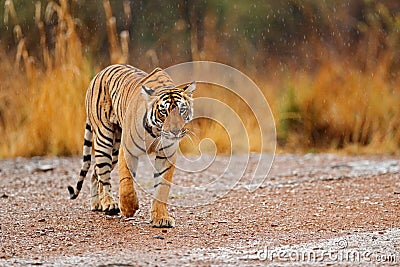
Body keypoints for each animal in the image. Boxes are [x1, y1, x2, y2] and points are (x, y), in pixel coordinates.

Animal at [67, 64, 195, 228]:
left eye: (182, 110)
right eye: (163, 112)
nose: (175, 131)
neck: (156, 131)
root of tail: (99, 73)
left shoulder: (167, 154)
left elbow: (161, 188)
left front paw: (161, 218)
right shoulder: (127, 150)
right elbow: (126, 181)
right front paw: (128, 208)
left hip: (114, 151)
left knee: (96, 170)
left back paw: (97, 203)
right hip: (104, 139)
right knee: (103, 173)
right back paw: (109, 204)